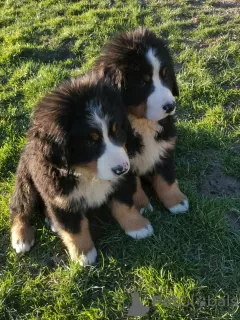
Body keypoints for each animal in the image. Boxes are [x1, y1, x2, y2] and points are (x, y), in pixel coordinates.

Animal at [10, 74, 153, 266]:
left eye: (117, 130)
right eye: (91, 141)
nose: (122, 169)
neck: (88, 173)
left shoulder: (121, 183)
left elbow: (124, 206)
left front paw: (137, 226)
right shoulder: (61, 197)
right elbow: (74, 229)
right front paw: (83, 254)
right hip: (25, 181)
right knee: (20, 208)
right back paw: (21, 237)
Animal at [94, 27, 188, 215]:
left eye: (165, 76)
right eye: (143, 82)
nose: (170, 106)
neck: (142, 122)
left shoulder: (164, 146)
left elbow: (166, 177)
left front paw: (176, 201)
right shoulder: (123, 162)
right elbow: (133, 186)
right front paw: (140, 205)